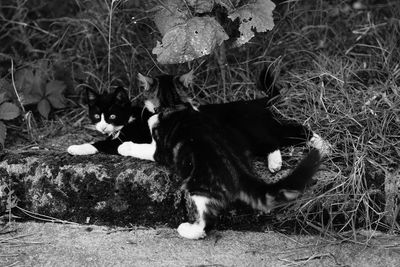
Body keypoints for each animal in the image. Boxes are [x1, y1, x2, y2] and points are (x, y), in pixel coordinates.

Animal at [117, 88, 324, 241]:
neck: (180, 113)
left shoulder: (160, 149)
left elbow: (144, 149)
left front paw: (124, 146)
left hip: (201, 182)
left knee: (208, 220)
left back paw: (189, 230)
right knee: (293, 131)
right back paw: (319, 149)